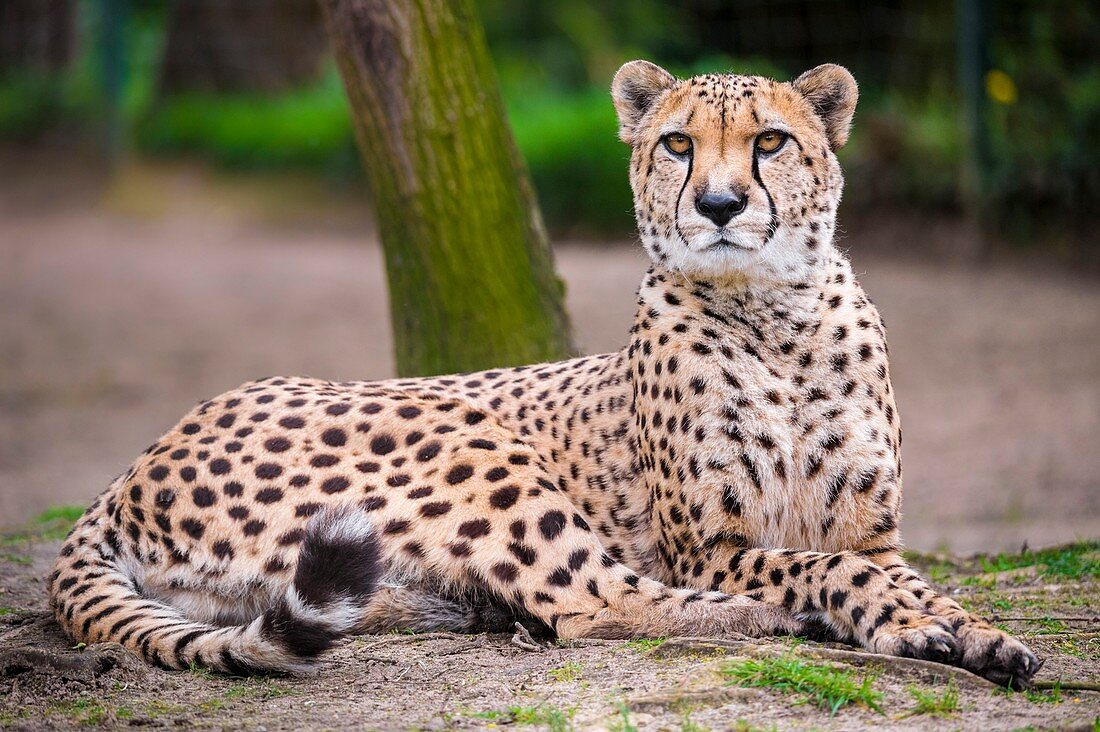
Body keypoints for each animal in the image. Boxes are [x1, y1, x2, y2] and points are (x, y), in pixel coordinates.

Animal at [45, 61, 1038, 686]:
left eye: (769, 143)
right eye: (677, 145)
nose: (719, 205)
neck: (775, 319)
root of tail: (131, 468)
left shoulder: (874, 533)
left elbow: (904, 577)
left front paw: (979, 634)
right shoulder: (710, 547)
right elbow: (827, 571)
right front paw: (906, 625)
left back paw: (466, 612)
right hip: (467, 440)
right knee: (591, 602)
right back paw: (767, 623)